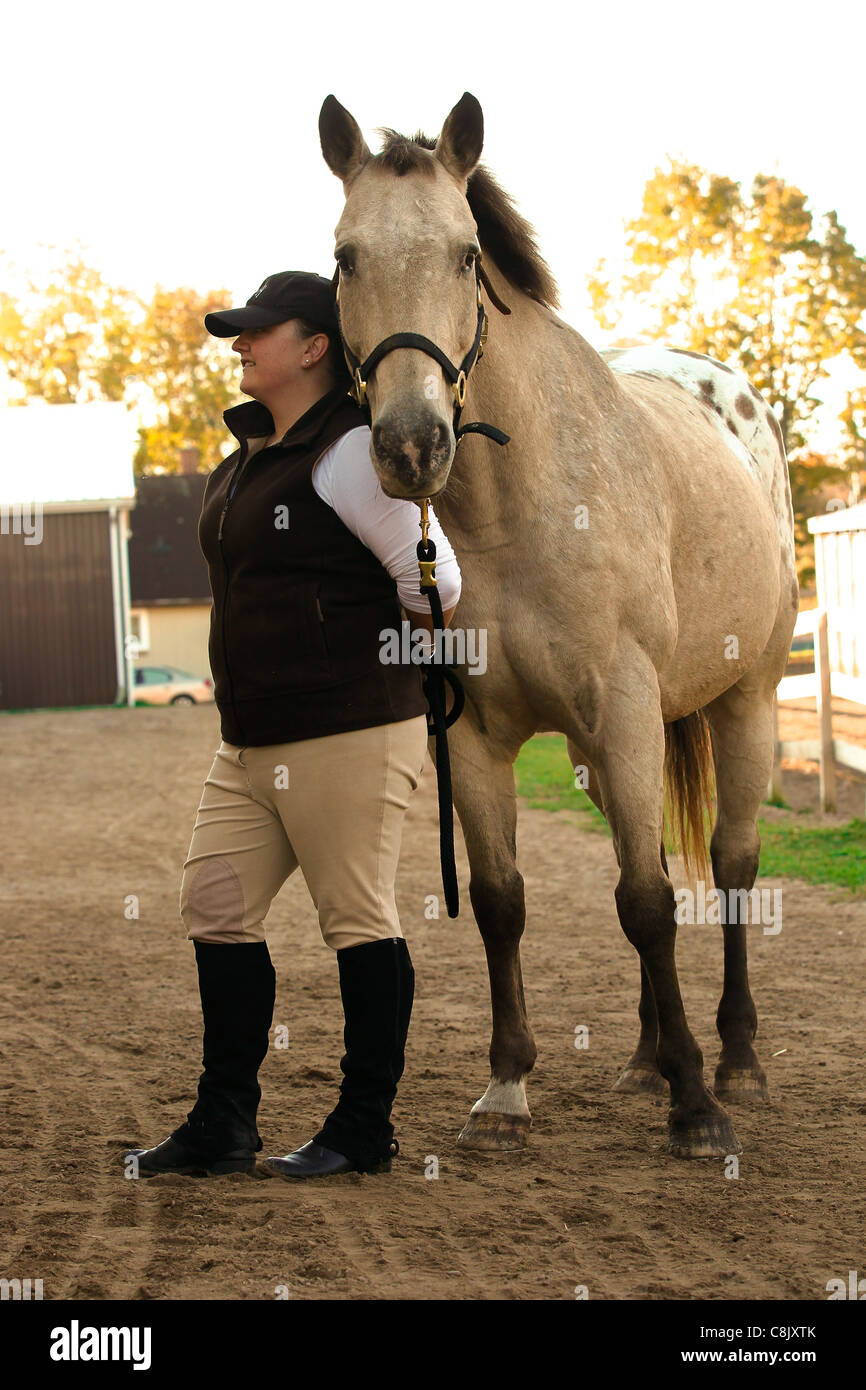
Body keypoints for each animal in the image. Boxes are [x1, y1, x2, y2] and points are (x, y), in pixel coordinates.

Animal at [318, 92, 798, 1159]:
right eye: (346, 256)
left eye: (465, 253)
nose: (411, 446)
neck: (512, 510)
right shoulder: (474, 735)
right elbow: (506, 901)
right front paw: (506, 1088)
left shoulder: (623, 711)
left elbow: (649, 905)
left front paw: (697, 1109)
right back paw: (647, 1059)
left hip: (741, 704)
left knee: (733, 866)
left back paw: (738, 1061)